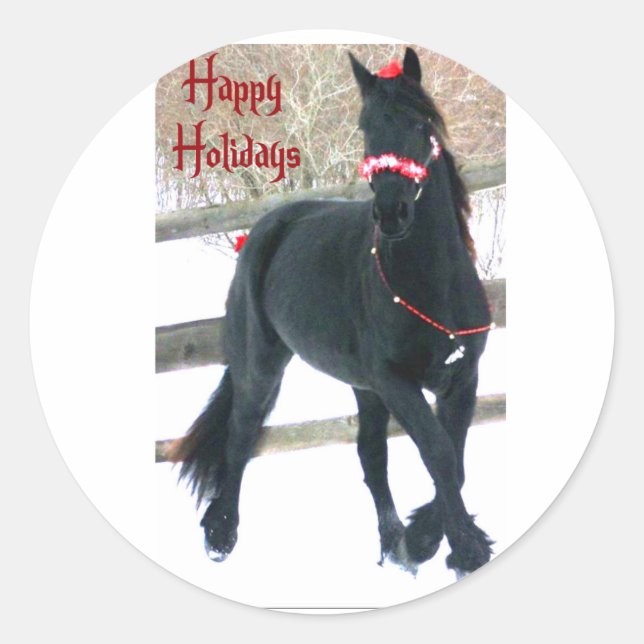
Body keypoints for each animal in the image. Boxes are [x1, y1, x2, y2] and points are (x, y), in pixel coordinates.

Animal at [168, 47, 495, 577]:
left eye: (421, 124)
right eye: (365, 127)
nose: (392, 213)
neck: (433, 287)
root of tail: (266, 227)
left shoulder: (461, 379)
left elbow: (456, 460)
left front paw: (425, 540)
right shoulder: (395, 382)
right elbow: (440, 454)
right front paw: (459, 548)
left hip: (363, 387)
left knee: (370, 456)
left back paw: (392, 544)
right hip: (264, 367)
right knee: (240, 436)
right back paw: (221, 535)